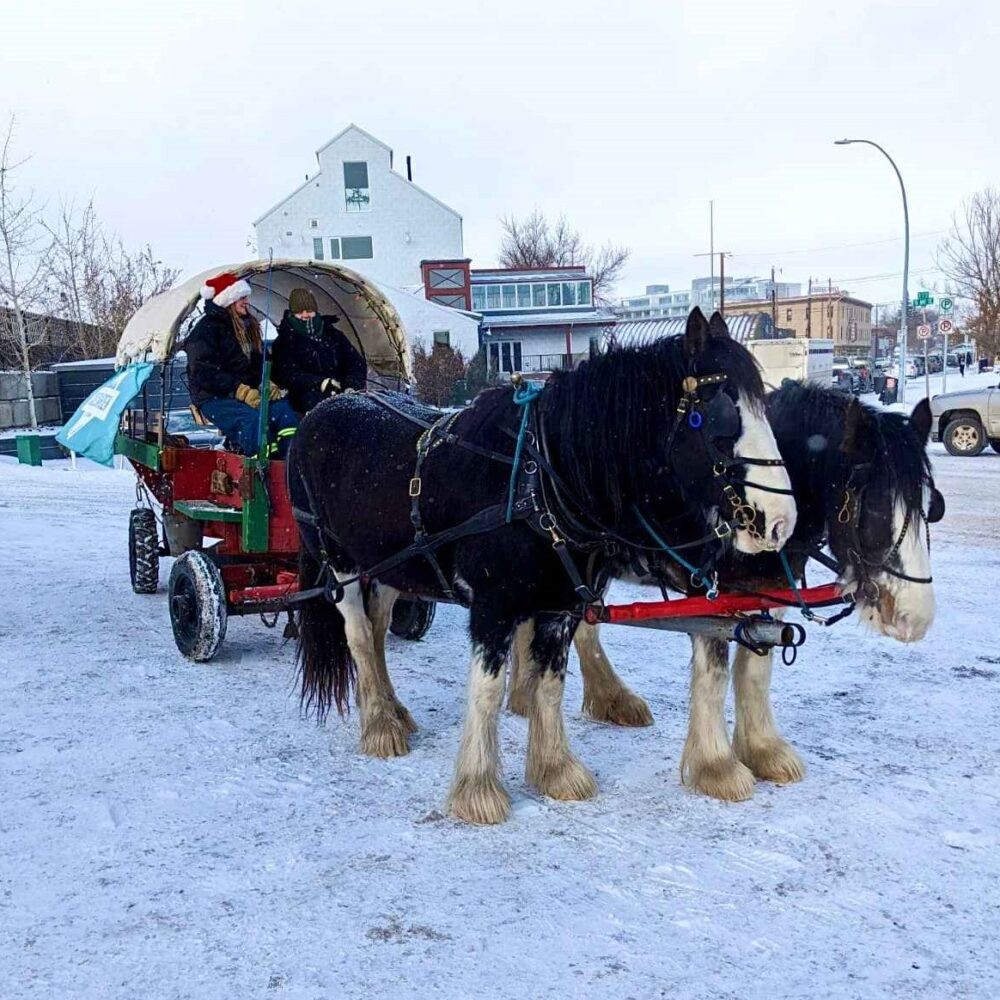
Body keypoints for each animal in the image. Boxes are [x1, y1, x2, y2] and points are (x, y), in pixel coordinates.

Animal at [288, 308, 796, 824]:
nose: (779, 522)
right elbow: (488, 691)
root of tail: (323, 409)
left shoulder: (559, 606)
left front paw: (556, 771)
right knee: (357, 633)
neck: (541, 478)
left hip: (391, 565)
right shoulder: (492, 607)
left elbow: (550, 684)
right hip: (339, 563)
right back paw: (378, 725)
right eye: (718, 415)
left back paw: (392, 710)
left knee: (377, 627)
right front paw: (478, 790)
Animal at [508, 382, 944, 804]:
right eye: (874, 507)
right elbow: (714, 676)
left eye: (930, 506)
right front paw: (717, 767)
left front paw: (763, 750)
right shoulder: (709, 595)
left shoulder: (765, 596)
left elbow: (755, 673)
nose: (914, 616)